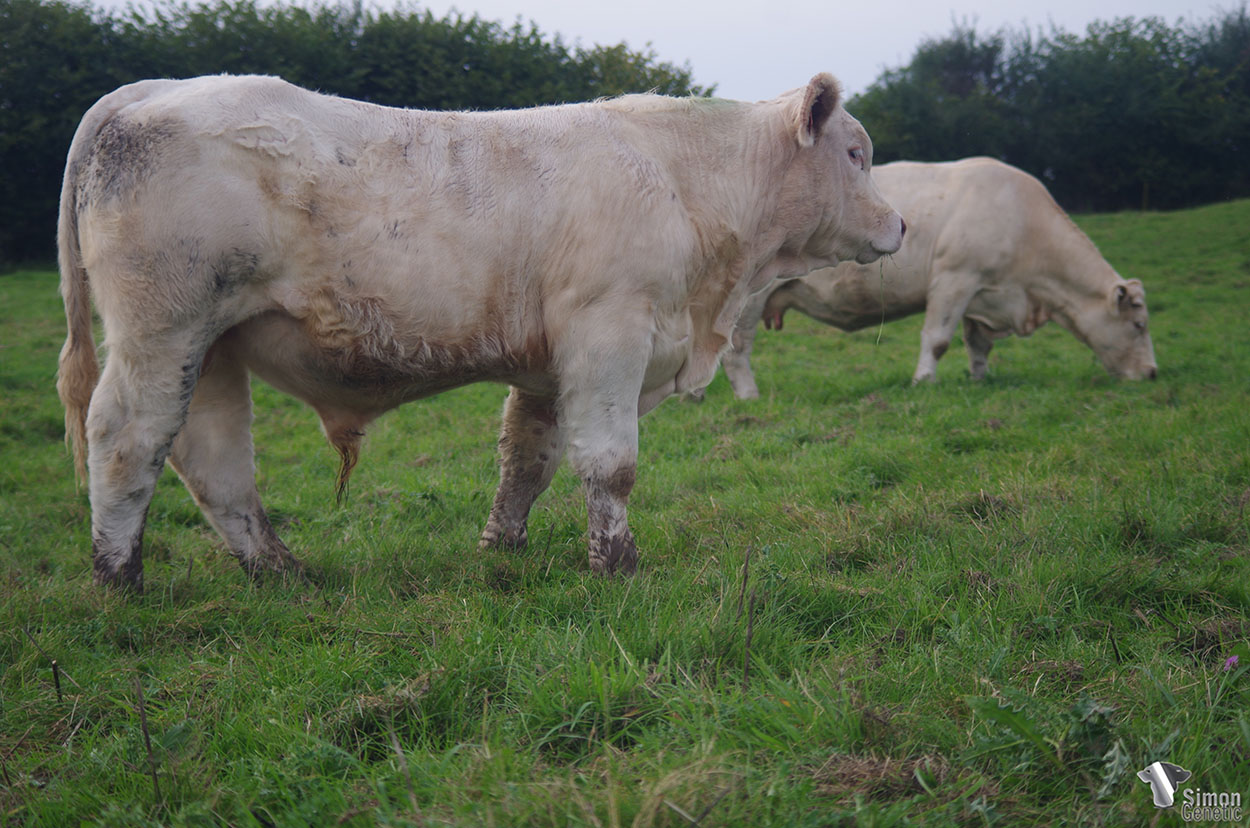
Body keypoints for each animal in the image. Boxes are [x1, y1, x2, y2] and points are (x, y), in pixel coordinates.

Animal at [57, 73, 904, 589]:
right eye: (856, 153)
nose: (900, 224)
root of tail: (157, 88)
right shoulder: (610, 333)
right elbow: (610, 465)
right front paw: (618, 564)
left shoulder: (553, 364)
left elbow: (528, 459)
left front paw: (503, 550)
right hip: (162, 331)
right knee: (126, 437)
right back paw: (119, 578)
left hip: (211, 348)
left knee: (214, 459)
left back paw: (279, 569)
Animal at [720, 157, 1157, 399]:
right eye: (1138, 325)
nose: (1153, 374)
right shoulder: (955, 279)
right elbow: (938, 338)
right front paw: (923, 382)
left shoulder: (983, 292)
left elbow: (978, 344)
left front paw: (979, 380)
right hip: (749, 298)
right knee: (737, 349)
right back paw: (748, 396)